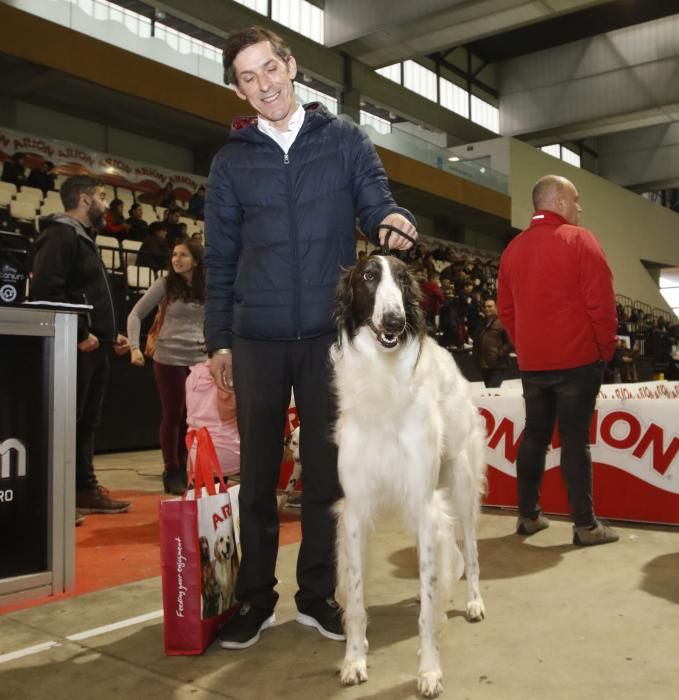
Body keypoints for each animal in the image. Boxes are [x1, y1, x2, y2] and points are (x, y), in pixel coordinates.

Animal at [332, 254, 486, 696]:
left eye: (403, 280)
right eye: (369, 276)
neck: (383, 383)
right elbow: (356, 596)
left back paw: (473, 602)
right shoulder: (356, 508)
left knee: (470, 549)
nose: (394, 321)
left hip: (462, 485)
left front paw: (430, 671)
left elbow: (428, 613)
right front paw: (354, 659)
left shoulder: (423, 499)